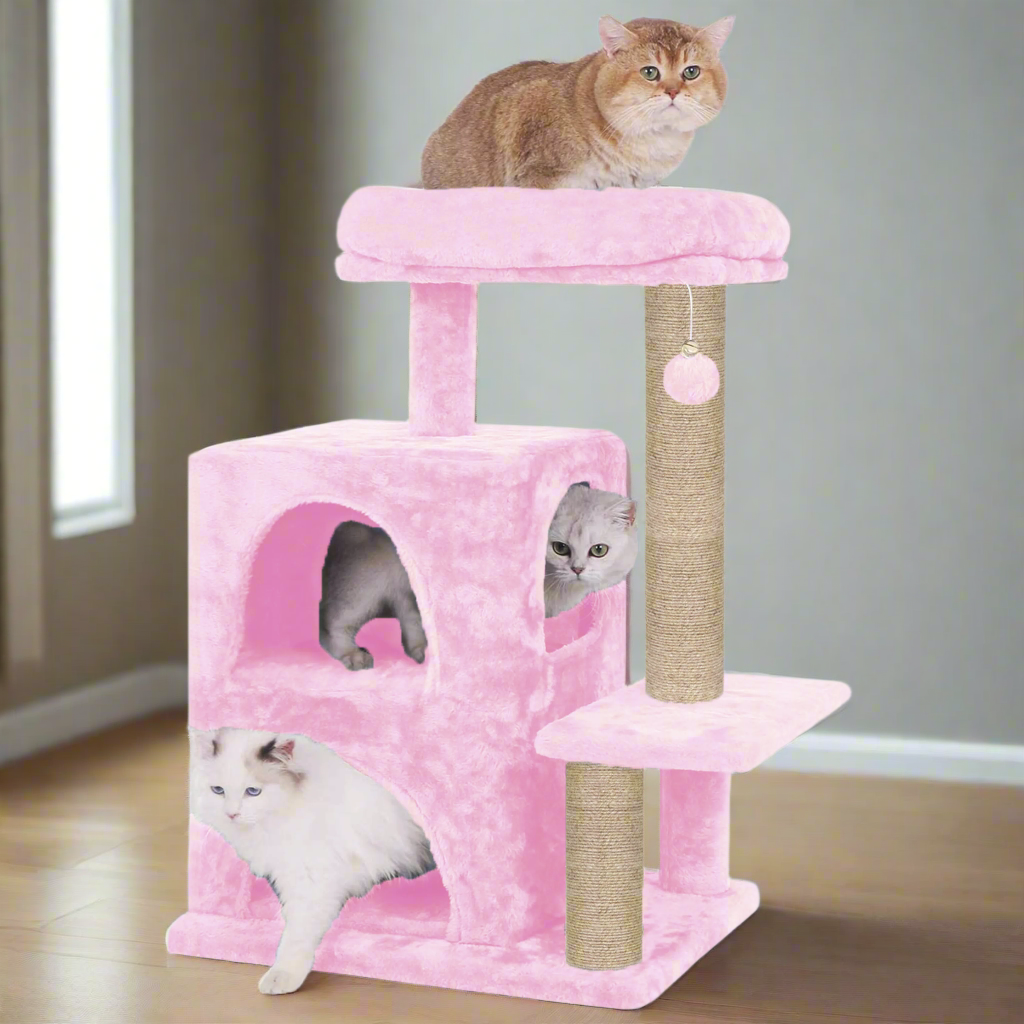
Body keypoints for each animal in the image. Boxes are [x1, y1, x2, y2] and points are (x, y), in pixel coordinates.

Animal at [189, 726, 435, 995]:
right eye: (218, 790)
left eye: (253, 791)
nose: (231, 814)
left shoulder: (312, 881)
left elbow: (296, 935)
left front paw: (282, 977)